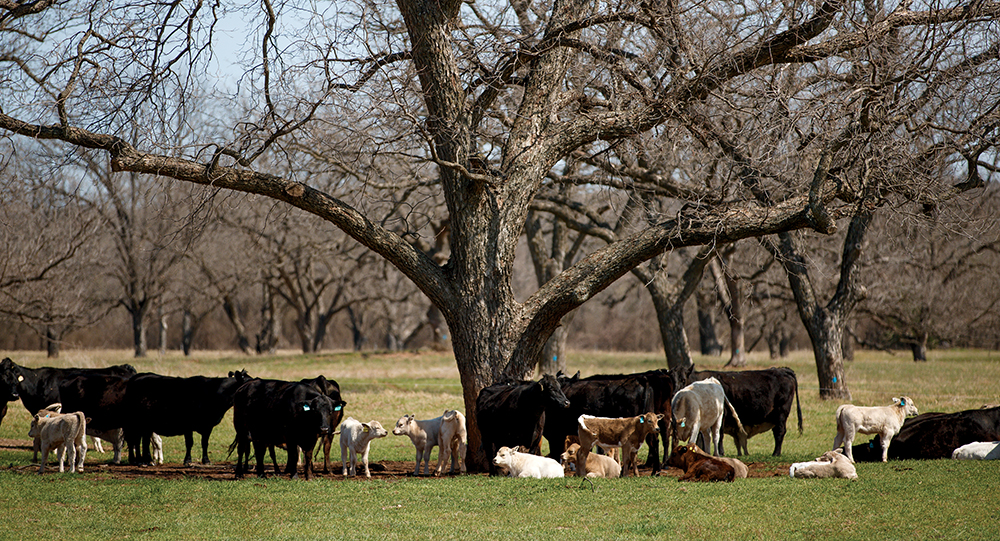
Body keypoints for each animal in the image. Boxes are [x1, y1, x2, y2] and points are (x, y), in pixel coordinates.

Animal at [123, 370, 251, 466]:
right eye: (250, 381)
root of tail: (140, 376)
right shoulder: (188, 425)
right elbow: (189, 443)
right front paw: (188, 460)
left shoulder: (208, 426)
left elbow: (205, 443)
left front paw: (206, 460)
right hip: (135, 422)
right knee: (135, 440)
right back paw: (138, 461)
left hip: (146, 425)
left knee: (143, 441)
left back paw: (146, 460)